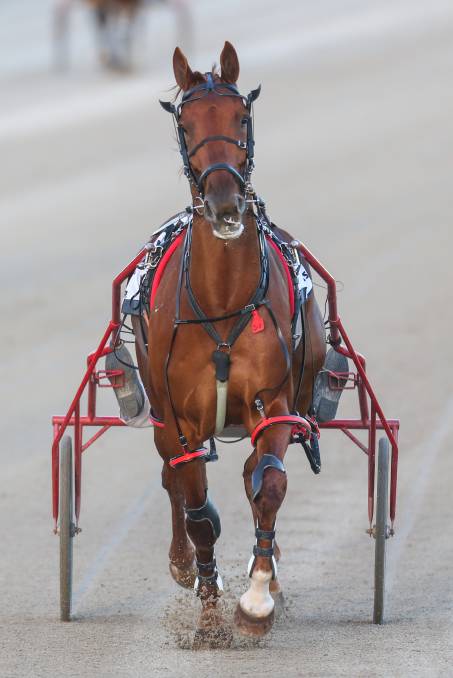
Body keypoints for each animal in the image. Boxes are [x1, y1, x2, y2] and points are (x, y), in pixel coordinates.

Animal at [143, 42, 326, 644]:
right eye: (186, 124)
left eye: (241, 117)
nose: (224, 203)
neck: (222, 298)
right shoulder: (180, 420)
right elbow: (199, 512)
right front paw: (207, 614)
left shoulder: (275, 401)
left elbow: (269, 484)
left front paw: (256, 600)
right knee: (173, 479)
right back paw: (185, 567)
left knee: (253, 475)